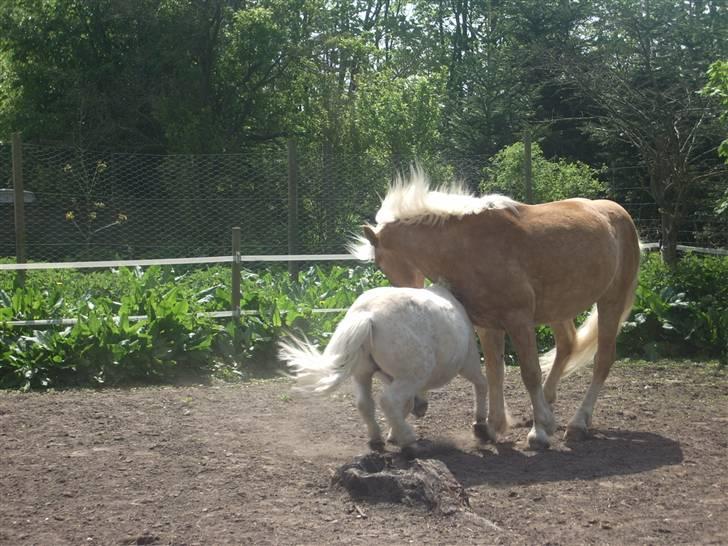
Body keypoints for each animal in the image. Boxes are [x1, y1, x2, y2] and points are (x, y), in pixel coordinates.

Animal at [278, 282, 494, 448]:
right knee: (388, 401)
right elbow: (482, 383)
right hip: (413, 375)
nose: (422, 410)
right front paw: (480, 423)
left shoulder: (391, 378)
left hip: (363, 374)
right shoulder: (469, 362)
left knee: (365, 404)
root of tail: (368, 315)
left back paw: (377, 438)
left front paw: (392, 434)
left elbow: (405, 405)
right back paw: (408, 439)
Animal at [356, 169, 640, 446]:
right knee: (567, 344)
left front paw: (538, 431)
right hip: (559, 308)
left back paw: (577, 423)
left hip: (610, 302)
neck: (468, 246)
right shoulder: (488, 325)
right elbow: (494, 373)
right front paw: (493, 426)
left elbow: (530, 373)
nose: (405, 291)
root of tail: (618, 213)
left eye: (379, 263)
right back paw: (549, 405)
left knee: (602, 360)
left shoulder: (518, 320)